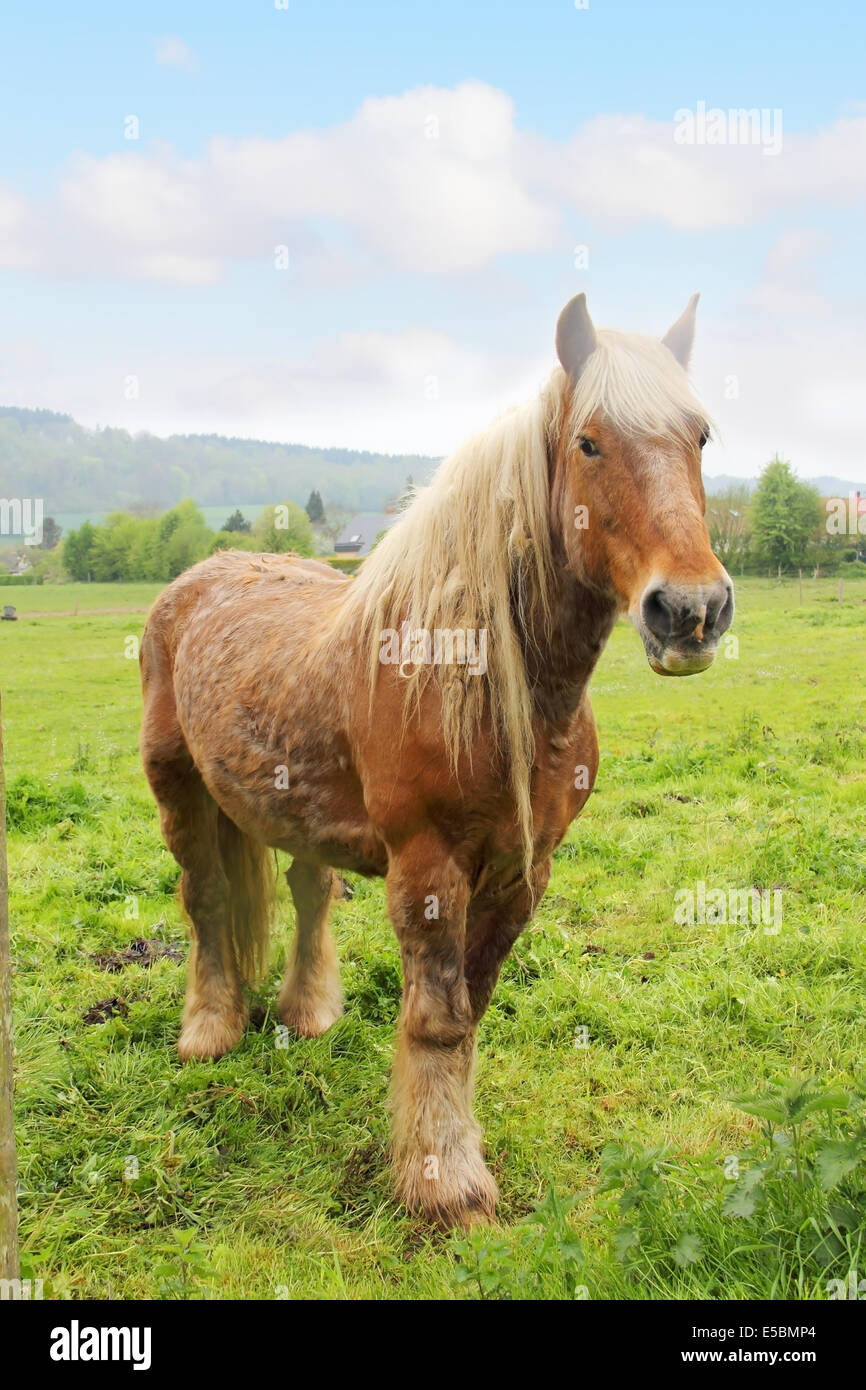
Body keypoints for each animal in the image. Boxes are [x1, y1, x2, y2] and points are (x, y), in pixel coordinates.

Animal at [139, 292, 734, 1229]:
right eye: (589, 442)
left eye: (700, 436)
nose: (692, 610)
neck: (488, 682)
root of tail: (198, 579)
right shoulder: (427, 869)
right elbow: (439, 1020)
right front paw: (444, 1184)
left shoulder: (525, 872)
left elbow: (471, 1012)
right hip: (179, 789)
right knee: (205, 902)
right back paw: (209, 1030)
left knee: (308, 890)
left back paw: (310, 1013)